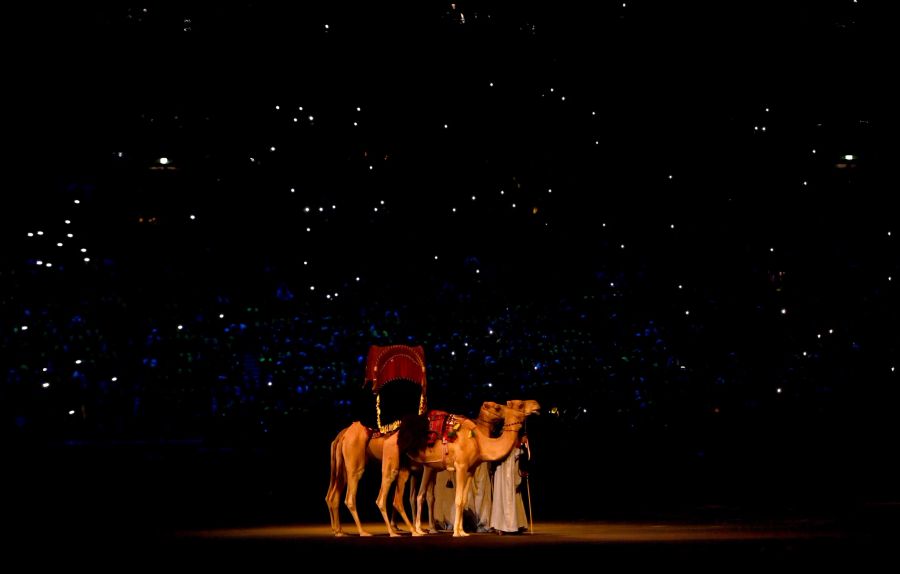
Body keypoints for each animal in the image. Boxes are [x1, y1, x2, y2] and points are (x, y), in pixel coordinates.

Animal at [326, 402, 510, 536]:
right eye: (496, 407)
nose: (504, 414)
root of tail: (343, 434)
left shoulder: (424, 470)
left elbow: (422, 497)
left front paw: (426, 528)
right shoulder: (429, 469)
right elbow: (422, 497)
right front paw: (425, 528)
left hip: (341, 467)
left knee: (332, 496)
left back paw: (340, 531)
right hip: (355, 462)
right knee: (352, 495)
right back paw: (367, 532)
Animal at [384, 400, 536, 540]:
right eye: (498, 407)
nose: (536, 405)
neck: (478, 441)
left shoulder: (470, 470)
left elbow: (463, 500)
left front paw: (463, 531)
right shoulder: (460, 466)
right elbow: (457, 499)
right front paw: (456, 533)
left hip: (419, 468)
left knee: (416, 496)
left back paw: (418, 530)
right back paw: (404, 531)